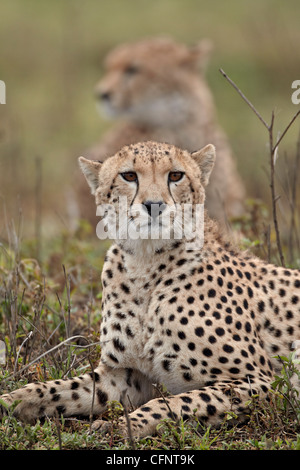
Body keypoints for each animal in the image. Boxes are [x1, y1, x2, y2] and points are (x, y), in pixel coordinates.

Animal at [0, 140, 300, 440]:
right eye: (129, 176)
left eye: (176, 175)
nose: (154, 206)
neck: (145, 264)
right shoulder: (123, 375)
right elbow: (59, 388)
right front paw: (10, 400)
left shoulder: (260, 383)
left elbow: (174, 402)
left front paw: (122, 425)